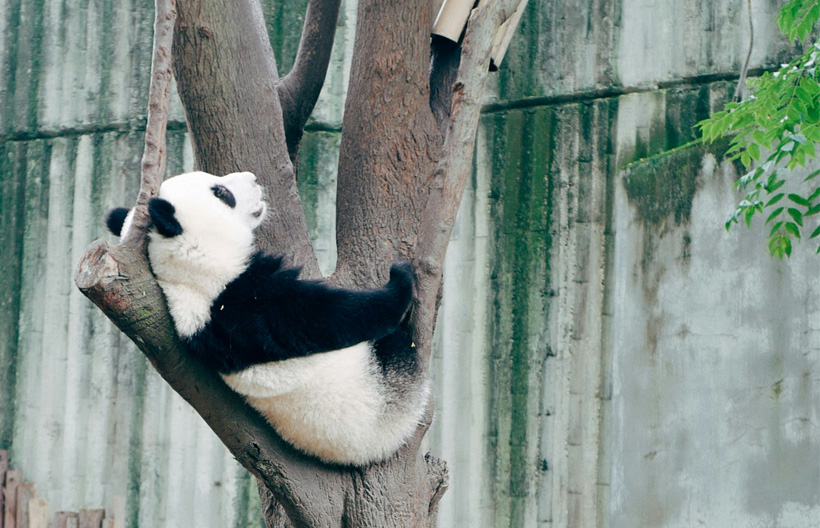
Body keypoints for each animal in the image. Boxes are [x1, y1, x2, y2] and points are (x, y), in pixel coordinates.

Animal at [104, 171, 430, 464]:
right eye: (221, 193)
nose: (254, 178)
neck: (187, 269)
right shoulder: (241, 302)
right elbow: (325, 318)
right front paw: (399, 282)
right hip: (384, 391)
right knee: (397, 351)